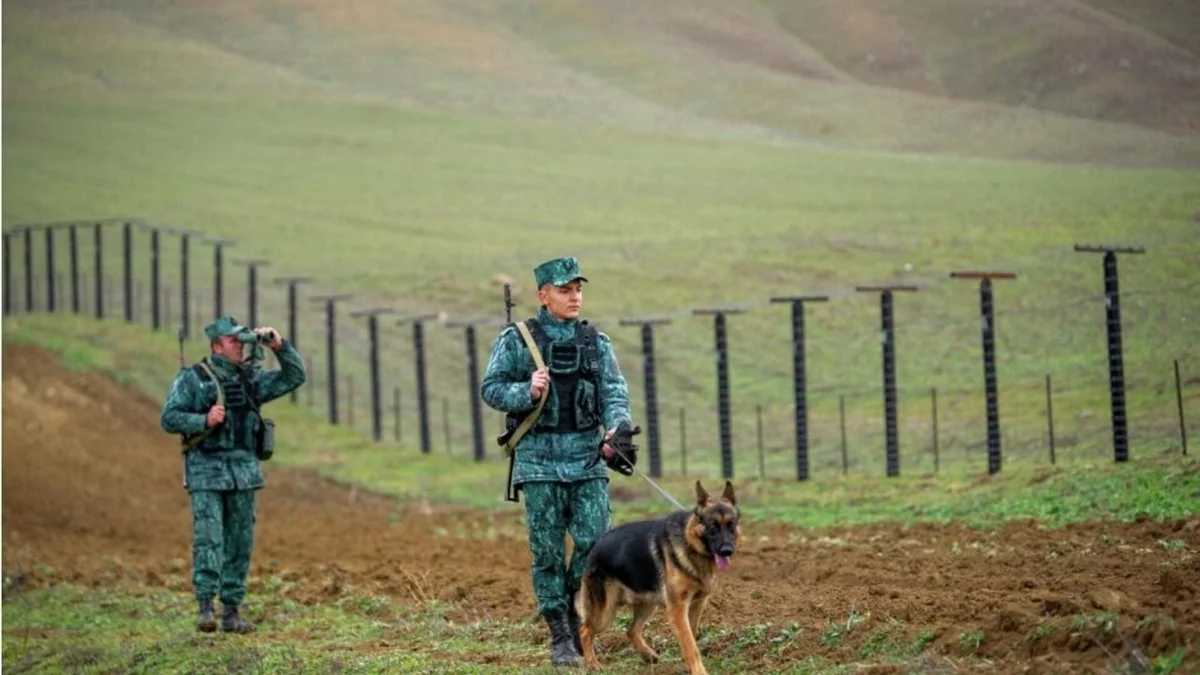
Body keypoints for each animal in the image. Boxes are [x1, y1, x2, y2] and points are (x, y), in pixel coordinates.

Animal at [576, 478, 744, 672]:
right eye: (712, 527)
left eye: (731, 525)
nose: (727, 551)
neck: (690, 544)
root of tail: (596, 545)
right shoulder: (677, 609)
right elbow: (690, 644)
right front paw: (698, 671)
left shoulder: (696, 605)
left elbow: (691, 638)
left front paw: (687, 667)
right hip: (605, 613)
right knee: (584, 631)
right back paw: (592, 663)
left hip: (648, 605)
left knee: (631, 630)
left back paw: (647, 654)